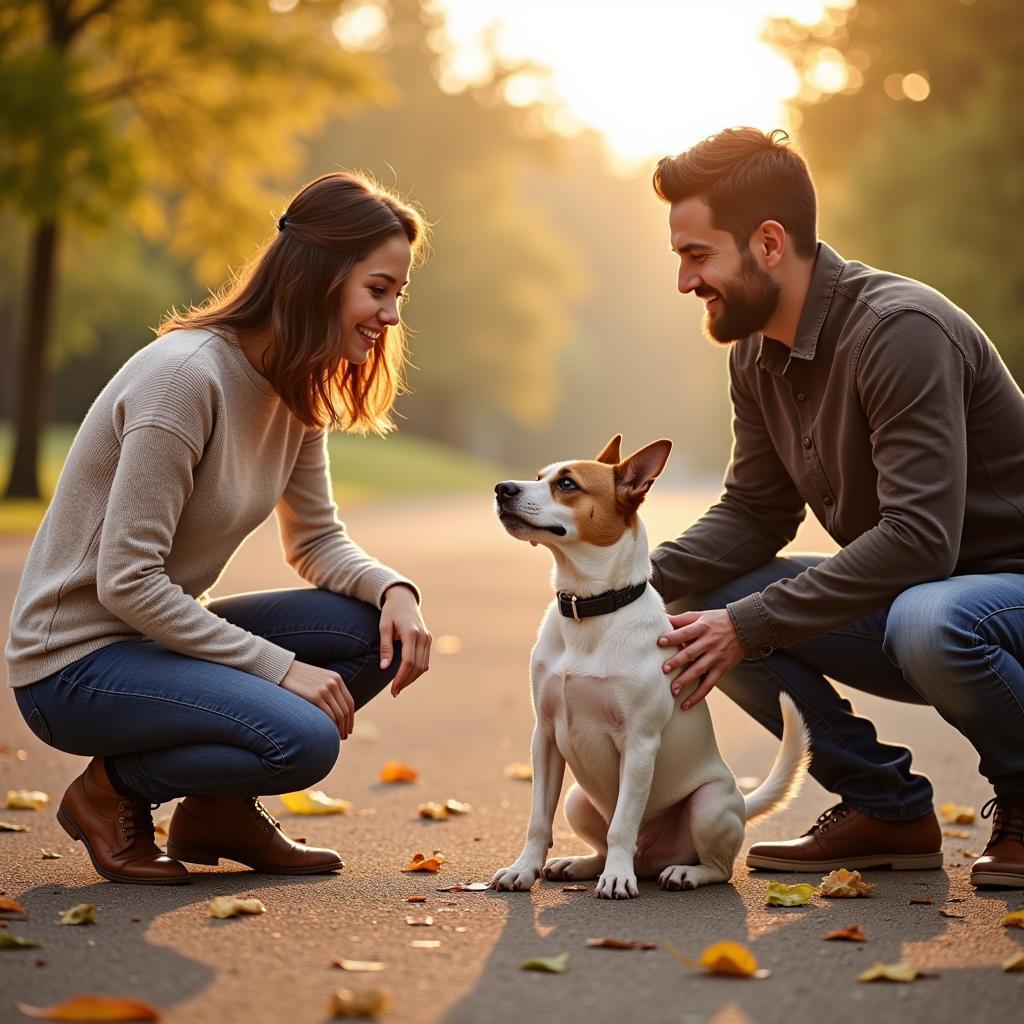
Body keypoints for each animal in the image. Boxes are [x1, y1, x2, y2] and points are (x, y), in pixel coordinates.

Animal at [487, 436, 806, 901]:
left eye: (567, 484)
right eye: (539, 475)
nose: (501, 489)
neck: (588, 609)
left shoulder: (639, 742)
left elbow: (623, 824)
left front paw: (617, 879)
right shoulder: (544, 738)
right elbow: (537, 821)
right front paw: (523, 869)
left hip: (708, 804)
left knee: (717, 866)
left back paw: (679, 873)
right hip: (577, 800)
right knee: (604, 845)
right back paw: (582, 864)